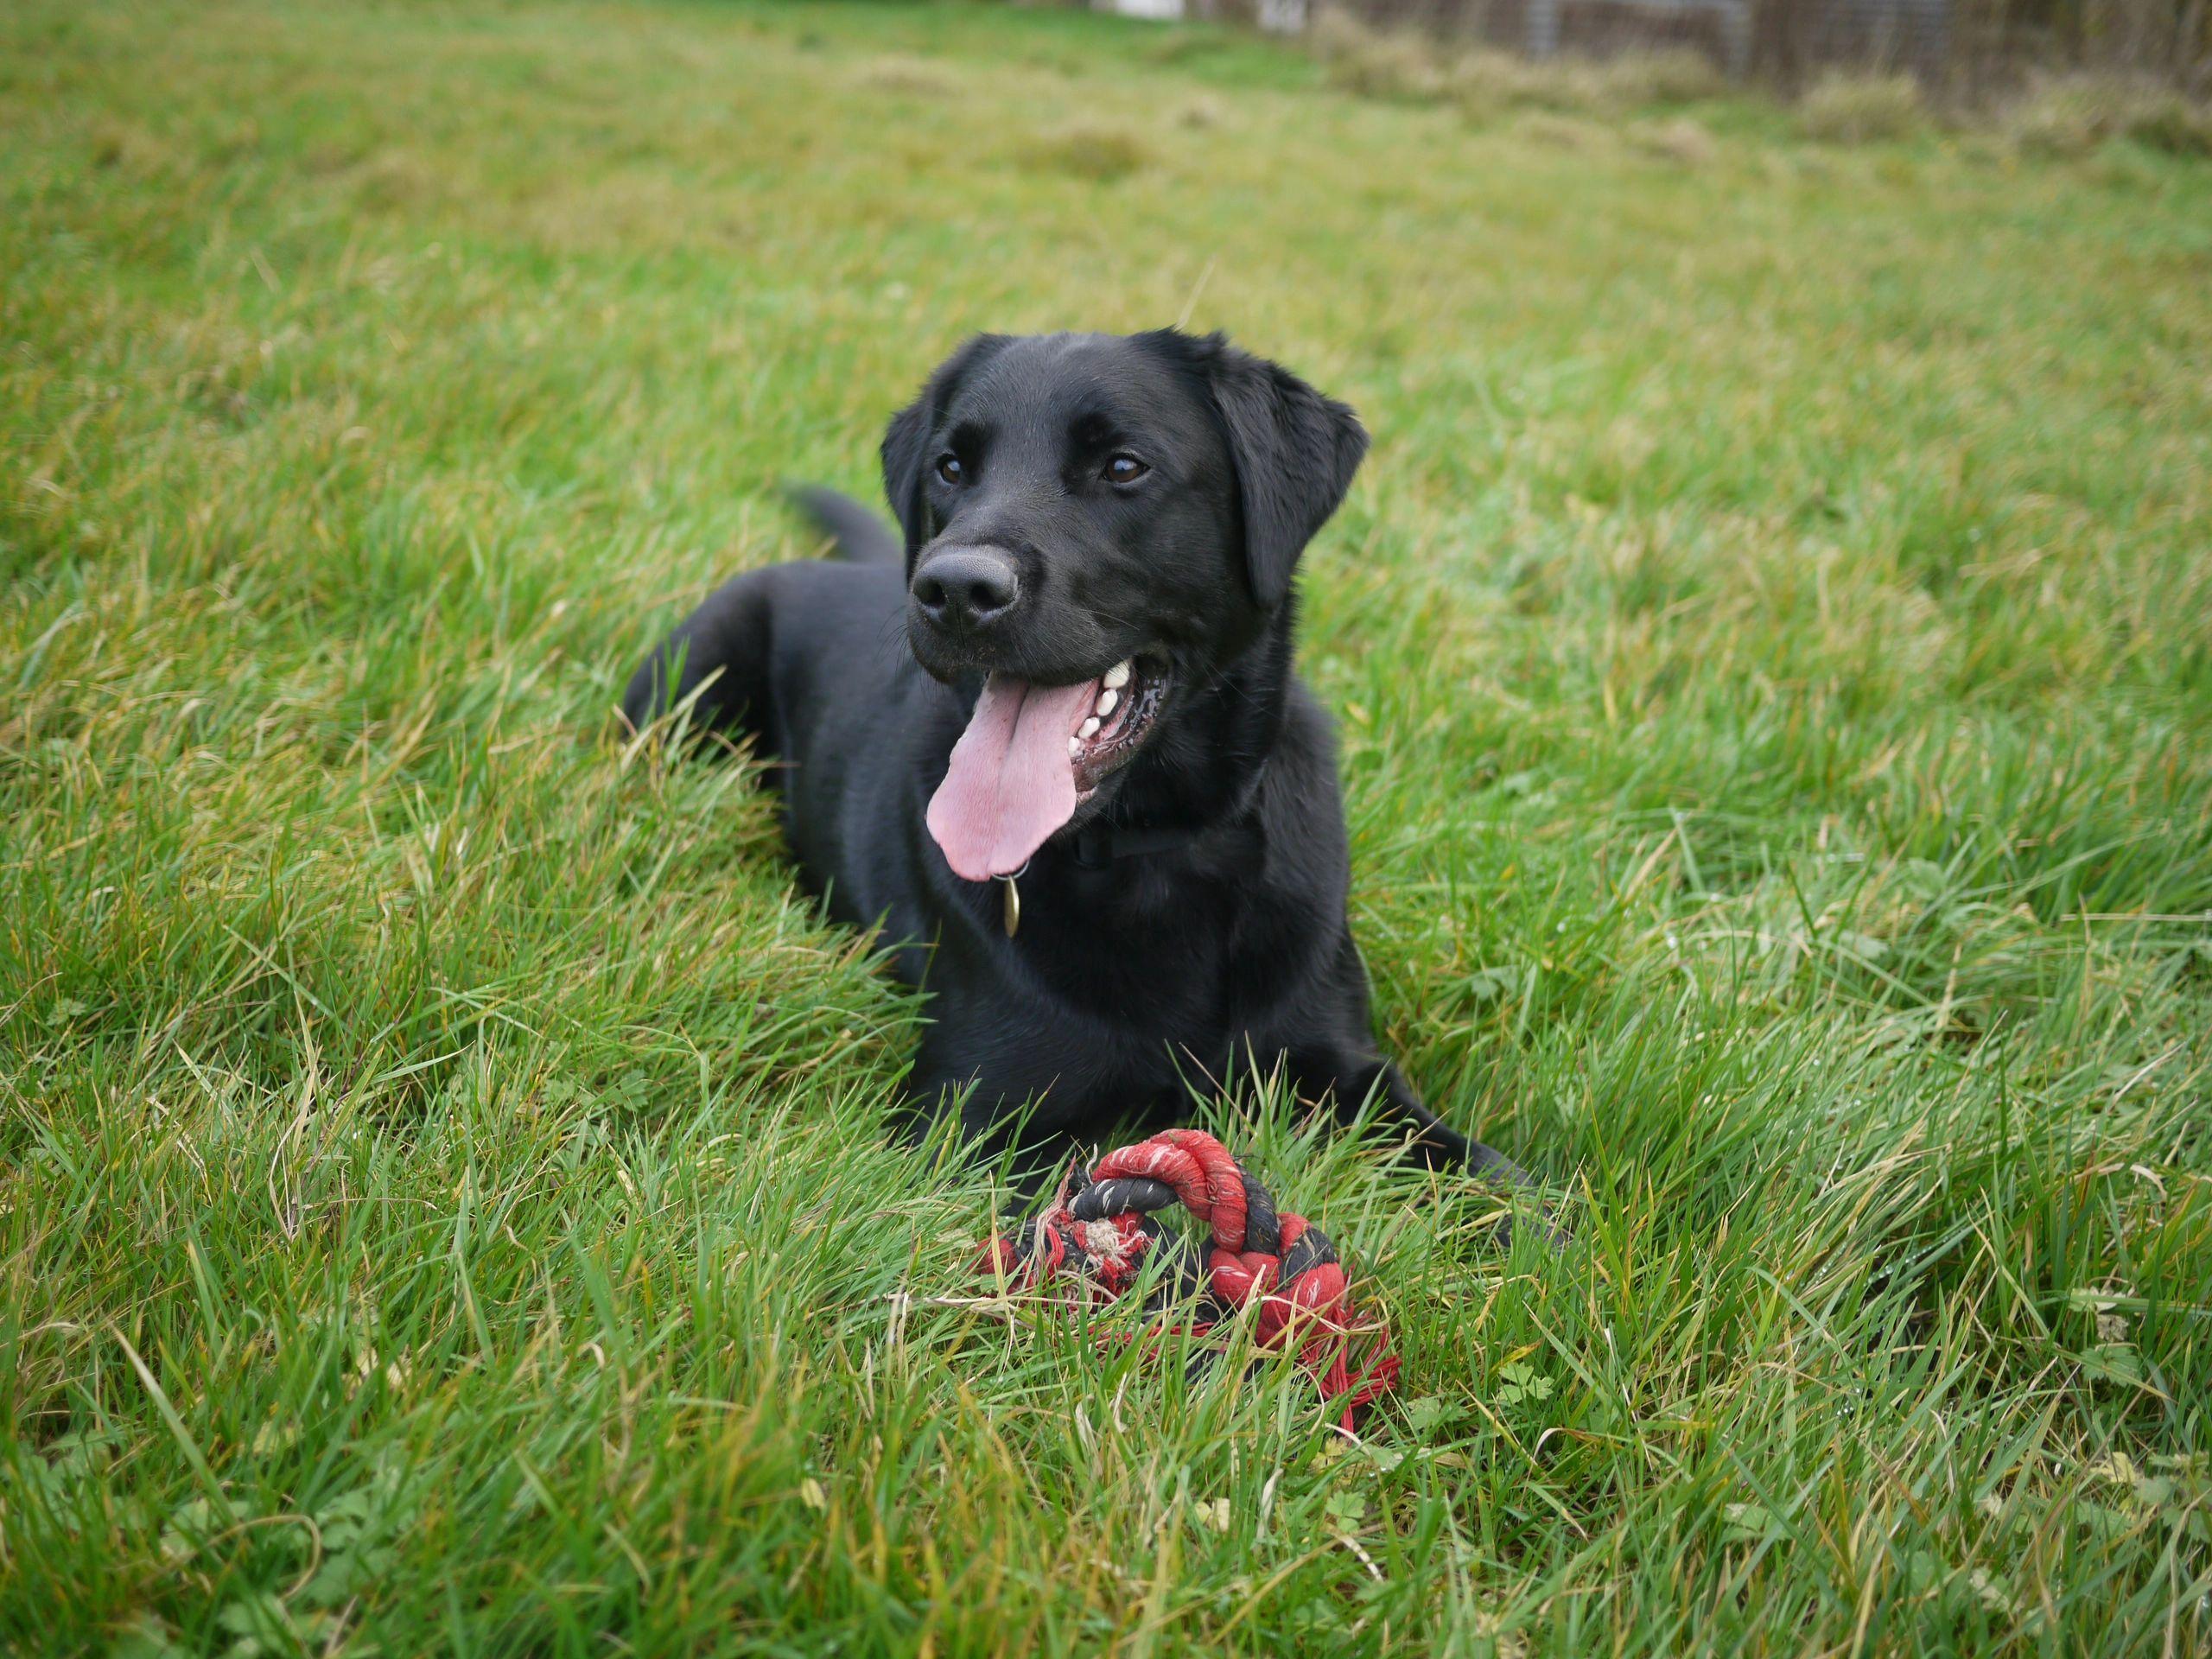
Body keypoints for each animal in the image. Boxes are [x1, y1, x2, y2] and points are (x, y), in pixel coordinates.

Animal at [623, 332, 1539, 1203]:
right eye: (952, 467)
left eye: (1123, 467)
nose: (953, 589)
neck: (1158, 852)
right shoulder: (967, 1117)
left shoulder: (1342, 1063)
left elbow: (1493, 1181)